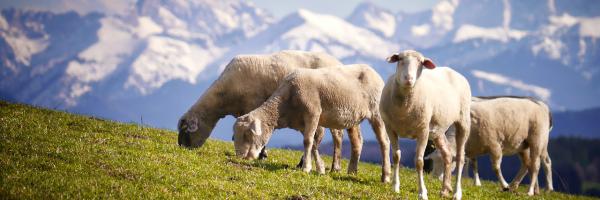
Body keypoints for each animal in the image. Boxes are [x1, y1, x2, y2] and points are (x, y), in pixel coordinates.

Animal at [173, 50, 360, 172]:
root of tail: (339, 63)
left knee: (337, 136)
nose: (182, 148)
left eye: (186, 132)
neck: (223, 96)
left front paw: (262, 154)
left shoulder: (253, 104)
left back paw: (334, 167)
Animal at [232, 64, 392, 181]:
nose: (241, 156)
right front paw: (320, 169)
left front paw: (306, 168)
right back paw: (352, 171)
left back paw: (385, 176)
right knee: (357, 141)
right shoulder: (302, 123)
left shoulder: (313, 113)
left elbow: (307, 141)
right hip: (353, 117)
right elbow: (313, 143)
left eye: (248, 135)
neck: (285, 104)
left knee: (384, 142)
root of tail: (373, 71)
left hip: (377, 113)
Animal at [380, 49, 474, 199]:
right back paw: (444, 189)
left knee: (460, 158)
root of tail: (453, 71)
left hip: (463, 121)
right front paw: (395, 187)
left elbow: (419, 162)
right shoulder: (390, 128)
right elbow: (396, 156)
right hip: (438, 131)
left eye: (421, 63)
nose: (409, 79)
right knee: (447, 154)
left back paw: (456, 193)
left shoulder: (423, 131)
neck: (404, 109)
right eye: (400, 59)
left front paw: (422, 192)